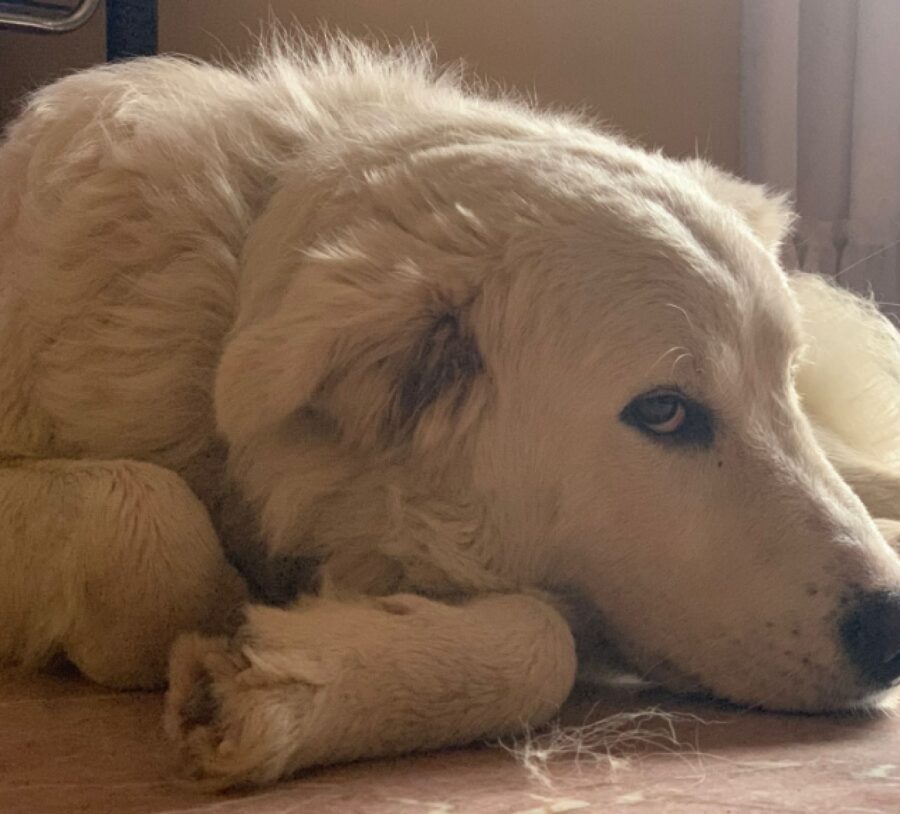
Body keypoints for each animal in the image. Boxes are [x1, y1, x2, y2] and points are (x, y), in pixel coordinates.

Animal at [1, 41, 900, 788]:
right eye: (665, 413)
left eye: (780, 381)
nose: (892, 627)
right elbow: (154, 519)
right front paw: (247, 624)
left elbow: (544, 640)